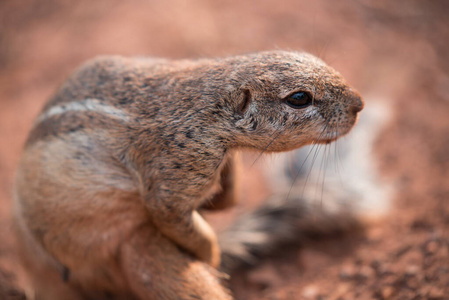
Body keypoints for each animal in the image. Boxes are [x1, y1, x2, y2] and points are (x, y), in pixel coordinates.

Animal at [13, 50, 364, 298]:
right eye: (299, 98)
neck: (207, 108)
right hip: (139, 249)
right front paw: (212, 256)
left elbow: (225, 197)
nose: (359, 103)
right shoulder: (179, 171)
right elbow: (173, 216)